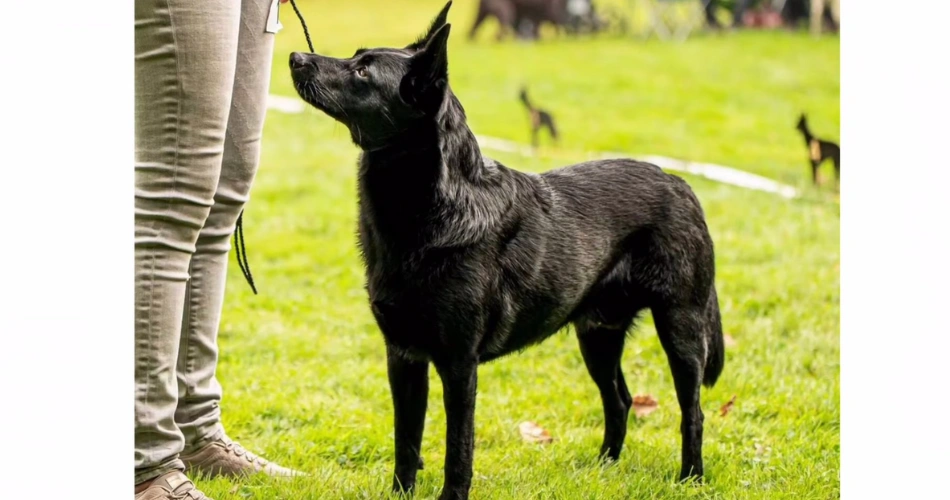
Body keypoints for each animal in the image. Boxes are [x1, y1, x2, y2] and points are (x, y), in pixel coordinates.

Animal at [294, 2, 724, 496]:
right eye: (355, 56)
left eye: (363, 70)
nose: (294, 57)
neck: (433, 210)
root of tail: (681, 184)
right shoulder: (403, 356)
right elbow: (406, 441)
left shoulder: (459, 364)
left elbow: (457, 450)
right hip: (597, 332)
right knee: (620, 399)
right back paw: (603, 467)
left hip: (681, 328)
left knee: (692, 412)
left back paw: (690, 478)